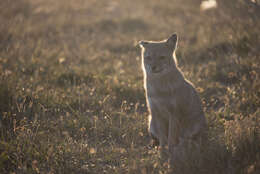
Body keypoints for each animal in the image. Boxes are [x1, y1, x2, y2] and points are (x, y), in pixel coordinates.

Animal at [138, 33, 207, 165]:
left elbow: (170, 138)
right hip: (151, 122)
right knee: (158, 139)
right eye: (148, 58)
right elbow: (163, 138)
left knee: (190, 141)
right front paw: (162, 152)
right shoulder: (156, 112)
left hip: (192, 128)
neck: (160, 90)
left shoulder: (174, 113)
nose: (153, 67)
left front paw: (169, 153)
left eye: (162, 57)